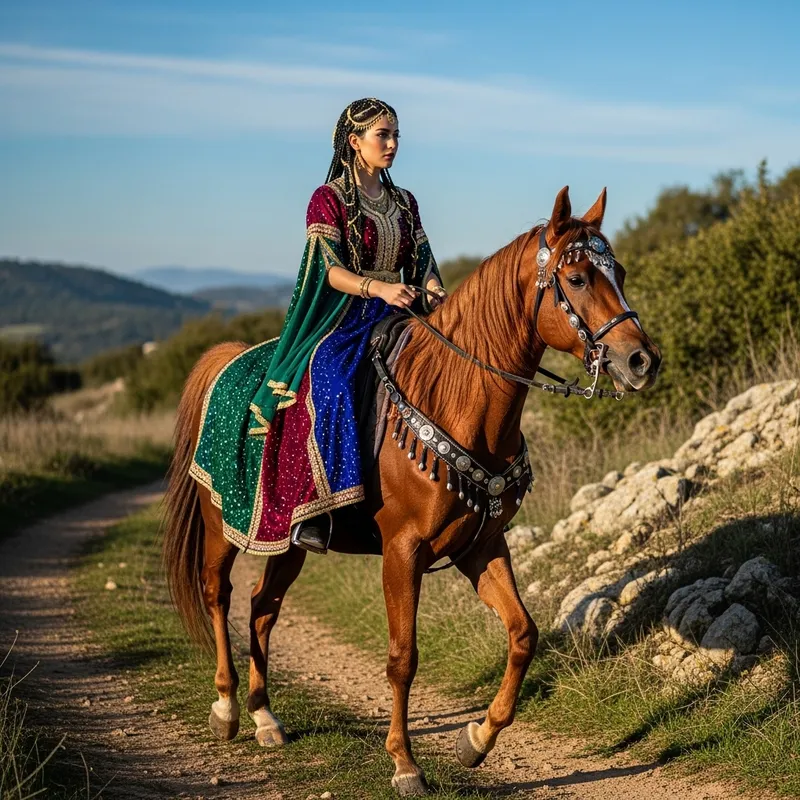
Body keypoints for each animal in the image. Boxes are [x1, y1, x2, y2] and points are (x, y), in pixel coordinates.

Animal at [162, 186, 661, 797]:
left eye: (620, 272)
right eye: (578, 278)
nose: (642, 360)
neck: (455, 396)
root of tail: (226, 358)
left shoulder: (480, 546)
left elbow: (523, 634)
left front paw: (476, 740)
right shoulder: (402, 551)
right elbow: (403, 657)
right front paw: (404, 763)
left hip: (285, 537)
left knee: (262, 608)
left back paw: (265, 717)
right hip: (221, 525)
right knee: (219, 595)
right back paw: (228, 708)